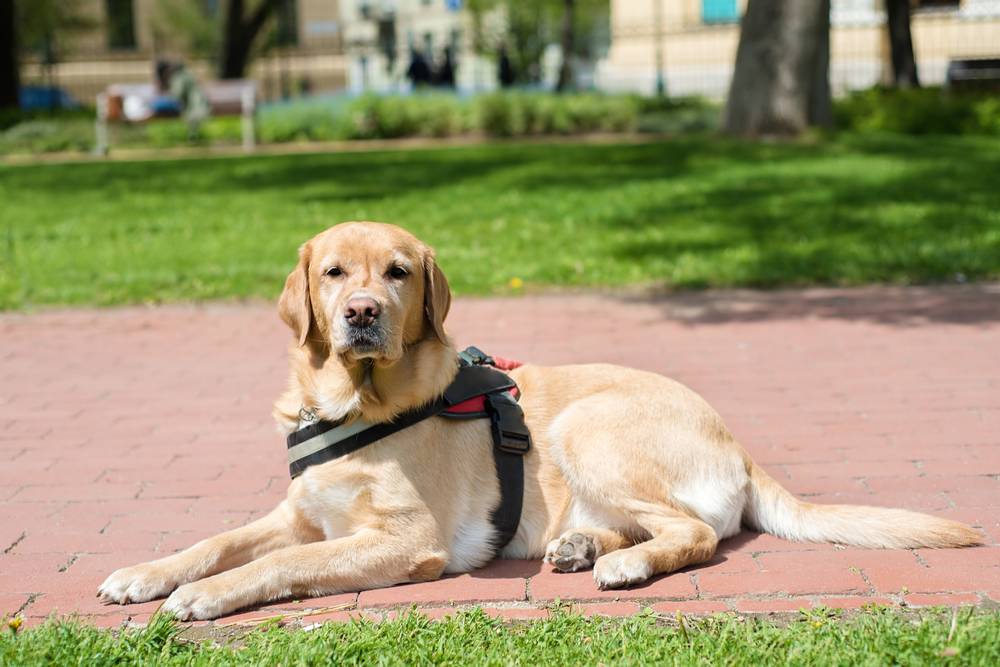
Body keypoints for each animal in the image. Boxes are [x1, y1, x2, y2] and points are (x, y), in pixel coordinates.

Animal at [95, 220, 984, 620]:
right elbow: (218, 540)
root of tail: (737, 440)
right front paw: (146, 571)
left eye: (398, 272)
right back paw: (583, 543)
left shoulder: (403, 541)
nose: (361, 314)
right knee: (655, 523)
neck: (357, 401)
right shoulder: (300, 513)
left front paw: (204, 595)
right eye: (335, 272)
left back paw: (622, 563)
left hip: (585, 425)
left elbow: (277, 565)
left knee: (696, 532)